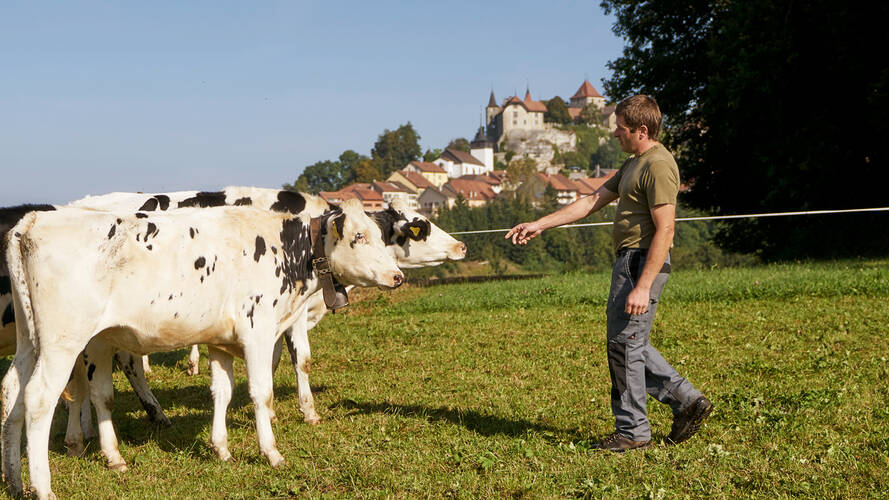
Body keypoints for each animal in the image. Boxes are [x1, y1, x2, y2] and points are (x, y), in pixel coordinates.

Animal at [0, 199, 402, 500]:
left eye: (381, 236)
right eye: (359, 236)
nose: (397, 276)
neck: (285, 248)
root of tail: (34, 220)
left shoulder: (220, 341)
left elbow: (222, 392)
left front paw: (220, 448)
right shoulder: (258, 332)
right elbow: (262, 394)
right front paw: (271, 452)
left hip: (32, 341)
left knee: (13, 392)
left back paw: (16, 481)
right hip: (63, 342)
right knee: (39, 399)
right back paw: (43, 487)